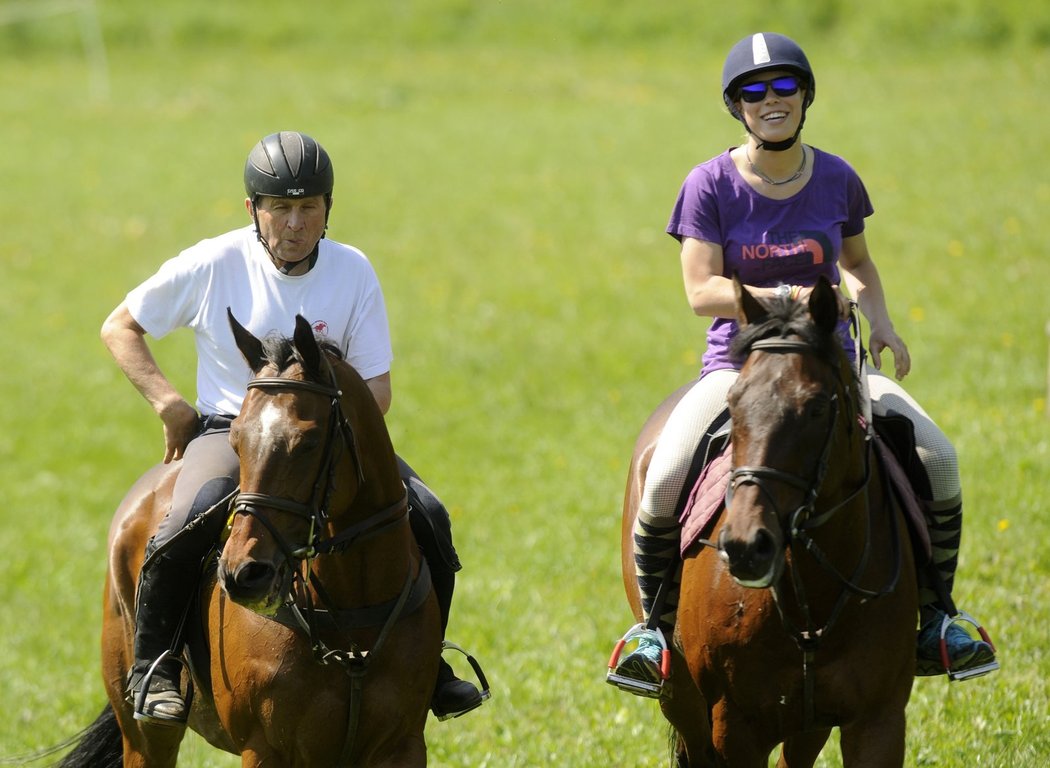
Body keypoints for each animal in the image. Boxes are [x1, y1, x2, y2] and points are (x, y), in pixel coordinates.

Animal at [62, 313, 438, 768]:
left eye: (308, 442)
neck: (352, 612)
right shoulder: (264, 747)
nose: (244, 574)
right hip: (143, 733)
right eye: (236, 440)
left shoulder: (403, 745)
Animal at [617, 279, 915, 768]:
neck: (812, 593)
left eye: (816, 407)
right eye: (734, 403)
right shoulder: (734, 724)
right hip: (680, 693)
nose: (744, 546)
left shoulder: (879, 719)